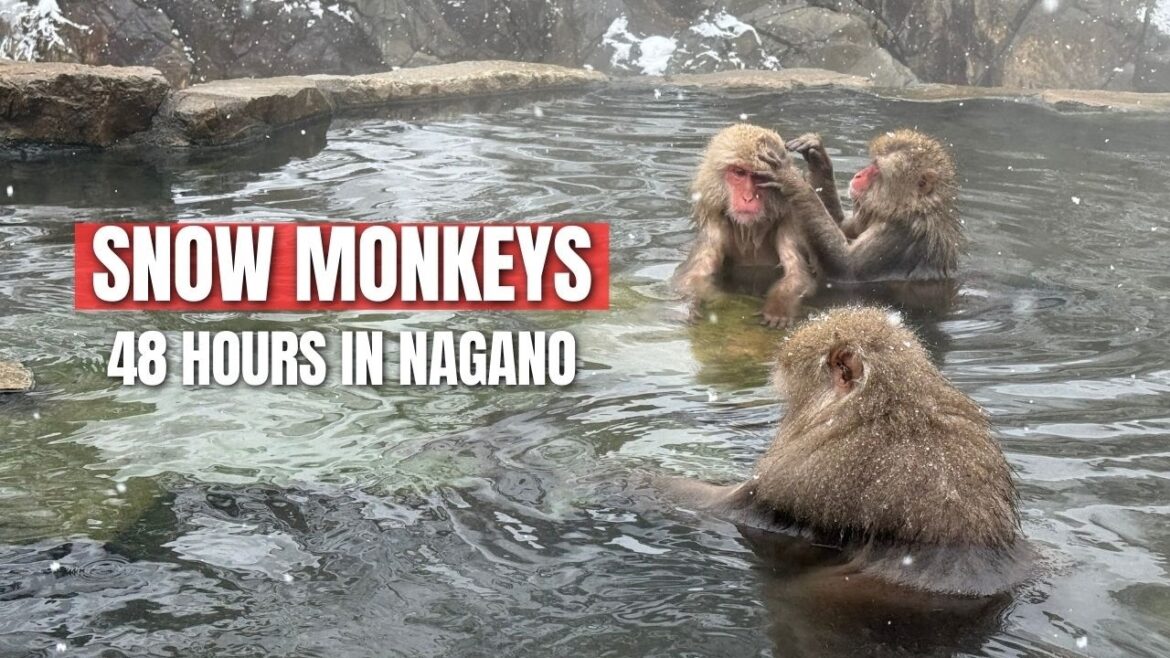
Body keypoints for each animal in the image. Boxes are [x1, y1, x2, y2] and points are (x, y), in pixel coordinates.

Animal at [673, 124, 820, 328]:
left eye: (758, 177)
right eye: (739, 173)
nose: (748, 198)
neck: (750, 230)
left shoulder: (789, 223)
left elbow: (798, 274)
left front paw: (778, 309)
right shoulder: (715, 227)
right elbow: (693, 277)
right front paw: (714, 302)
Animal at [759, 130, 961, 282]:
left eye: (877, 170)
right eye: (872, 163)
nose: (859, 175)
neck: (906, 209)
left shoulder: (900, 233)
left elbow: (846, 268)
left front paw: (792, 181)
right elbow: (843, 225)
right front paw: (818, 157)